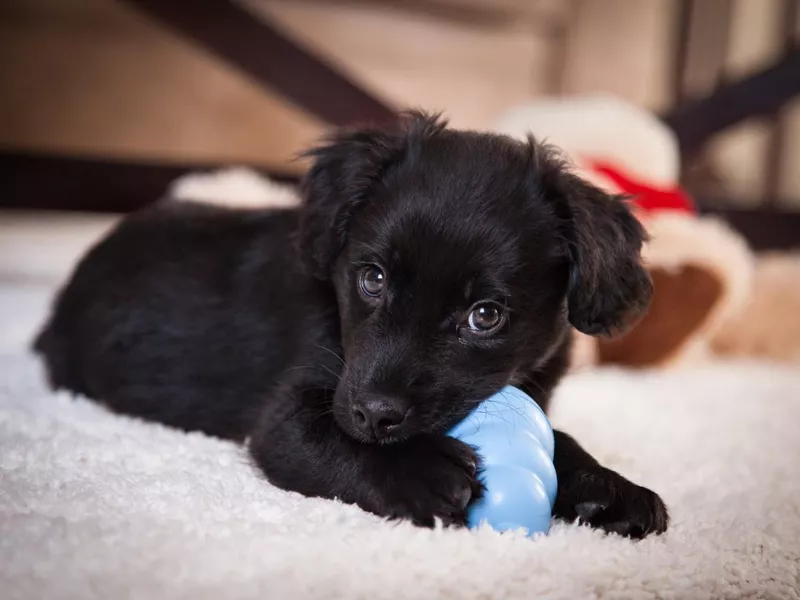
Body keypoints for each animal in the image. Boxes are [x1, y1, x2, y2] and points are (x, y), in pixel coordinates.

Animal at [32, 113, 668, 540]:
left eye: (485, 315)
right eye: (373, 278)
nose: (375, 415)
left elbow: (561, 438)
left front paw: (610, 489)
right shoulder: (285, 417)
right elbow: (325, 437)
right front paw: (420, 469)